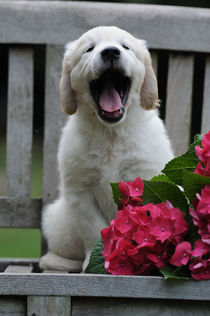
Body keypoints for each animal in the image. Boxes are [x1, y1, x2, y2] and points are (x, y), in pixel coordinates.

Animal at [39, 25, 174, 272]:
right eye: (89, 49)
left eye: (125, 47)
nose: (111, 52)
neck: (110, 133)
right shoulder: (80, 191)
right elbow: (94, 229)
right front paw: (98, 262)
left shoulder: (147, 178)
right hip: (58, 223)